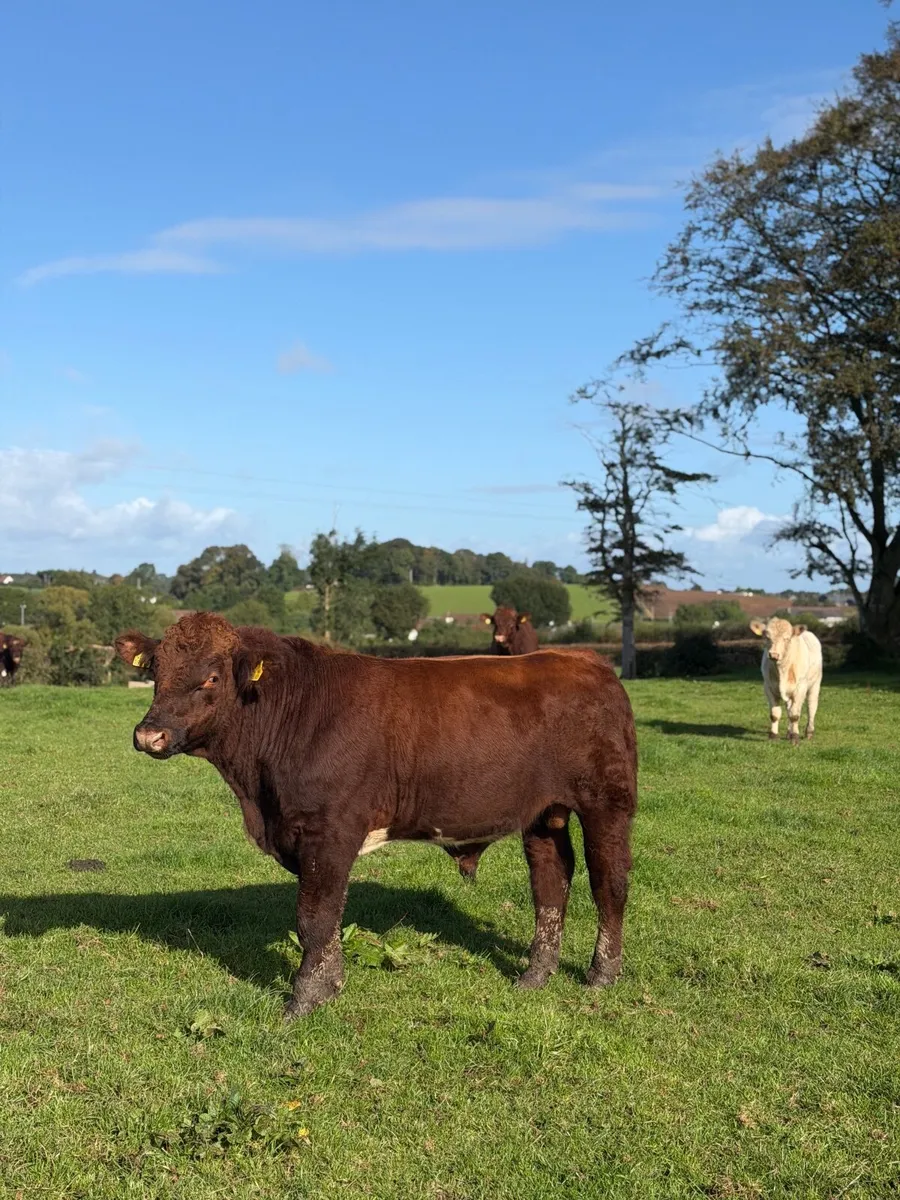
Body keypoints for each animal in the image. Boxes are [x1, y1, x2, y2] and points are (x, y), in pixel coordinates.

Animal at [116, 612, 637, 1020]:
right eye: (157, 670)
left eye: (211, 677)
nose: (149, 735)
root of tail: (586, 660)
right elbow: (325, 919)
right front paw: (329, 985)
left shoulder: (329, 831)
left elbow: (315, 916)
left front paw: (306, 998)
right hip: (544, 813)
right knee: (551, 881)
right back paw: (535, 973)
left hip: (607, 803)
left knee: (608, 882)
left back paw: (602, 973)